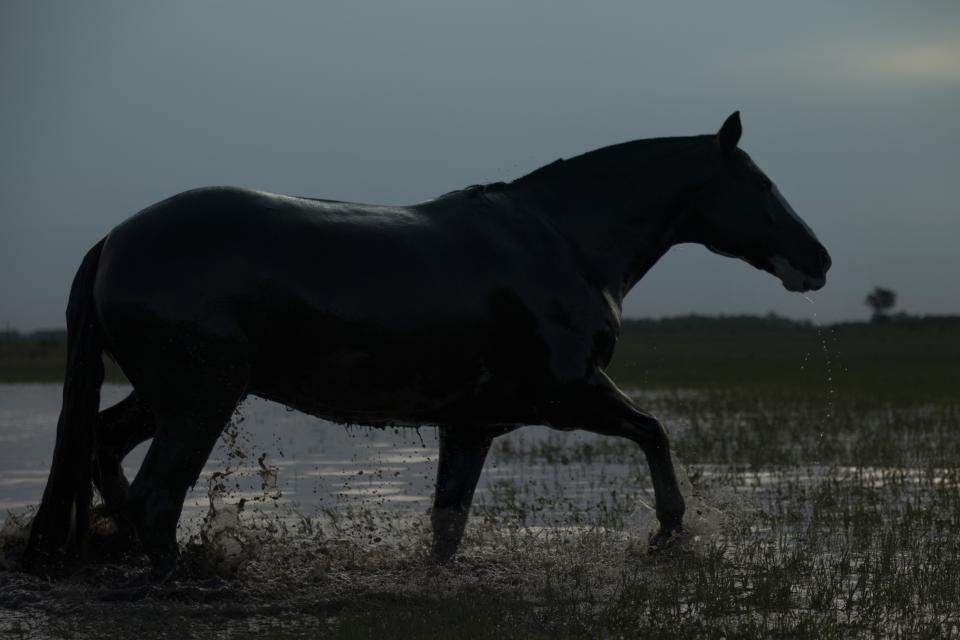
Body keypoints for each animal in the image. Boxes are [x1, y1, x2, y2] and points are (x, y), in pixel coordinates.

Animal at [24, 112, 830, 577]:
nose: (817, 260)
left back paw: (106, 539)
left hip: (170, 393)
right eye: (761, 183)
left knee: (104, 446)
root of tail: (115, 239)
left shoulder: (470, 426)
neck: (564, 242)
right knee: (157, 496)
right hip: (201, 396)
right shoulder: (570, 397)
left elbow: (448, 527)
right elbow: (655, 431)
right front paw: (666, 532)